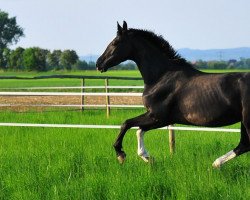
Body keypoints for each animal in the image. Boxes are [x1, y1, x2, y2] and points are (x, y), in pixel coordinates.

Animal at [95, 21, 250, 167]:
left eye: (115, 42)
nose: (98, 63)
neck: (161, 76)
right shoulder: (161, 119)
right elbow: (139, 130)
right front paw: (147, 157)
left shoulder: (158, 117)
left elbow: (127, 124)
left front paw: (121, 154)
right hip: (243, 121)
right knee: (244, 145)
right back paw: (216, 164)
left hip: (247, 121)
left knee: (245, 144)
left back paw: (216, 164)